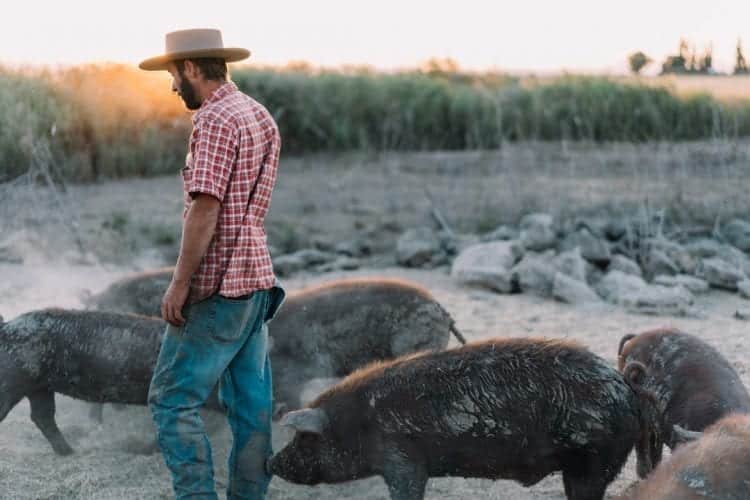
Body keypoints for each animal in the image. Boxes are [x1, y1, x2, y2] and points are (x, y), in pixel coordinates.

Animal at [270, 338, 664, 498]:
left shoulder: (401, 456)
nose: (270, 462)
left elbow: (407, 488)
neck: (358, 422)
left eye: (304, 438)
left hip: (594, 460)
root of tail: (627, 386)